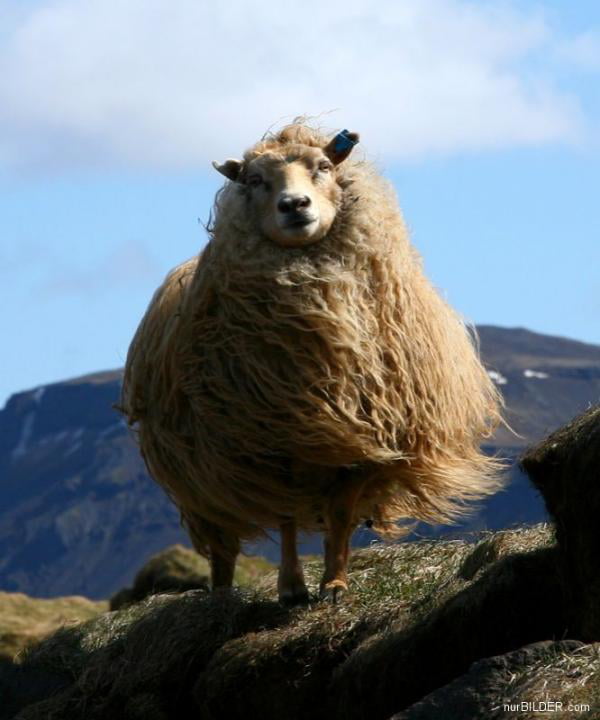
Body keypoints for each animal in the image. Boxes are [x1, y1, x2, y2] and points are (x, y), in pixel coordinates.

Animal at [120, 122, 504, 604]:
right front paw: (291, 586)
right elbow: (285, 516)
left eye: (323, 166)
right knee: (222, 538)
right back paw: (221, 592)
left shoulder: (363, 441)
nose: (294, 205)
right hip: (200, 472)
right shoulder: (272, 442)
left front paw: (335, 584)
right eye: (254, 180)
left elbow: (339, 516)